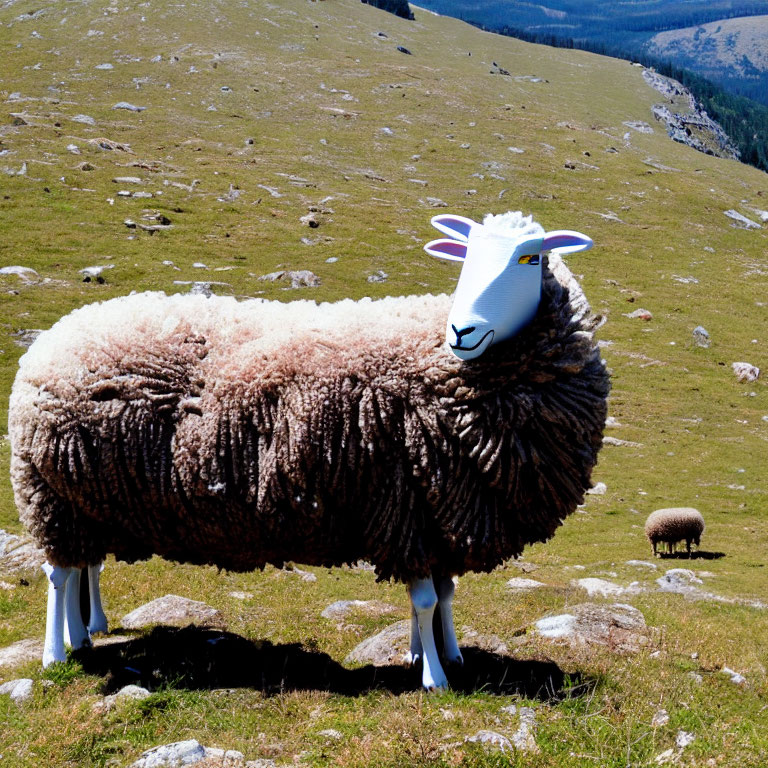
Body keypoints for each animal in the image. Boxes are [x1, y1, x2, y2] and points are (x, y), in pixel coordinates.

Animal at [10, 210, 612, 688]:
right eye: (464, 259)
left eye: (530, 257)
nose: (461, 331)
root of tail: (52, 339)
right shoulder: (405, 503)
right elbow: (423, 599)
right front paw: (434, 678)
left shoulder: (441, 509)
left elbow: (444, 595)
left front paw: (445, 654)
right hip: (48, 491)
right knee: (58, 576)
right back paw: (54, 654)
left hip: (85, 497)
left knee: (83, 565)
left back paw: (87, 634)